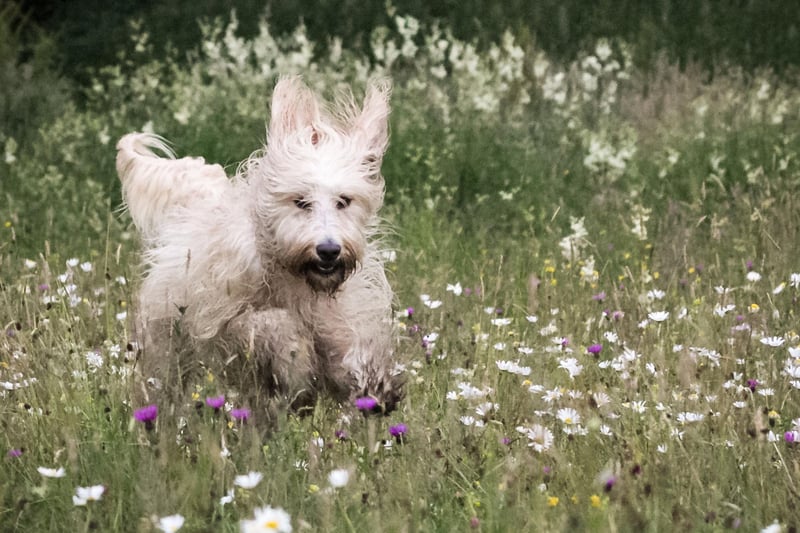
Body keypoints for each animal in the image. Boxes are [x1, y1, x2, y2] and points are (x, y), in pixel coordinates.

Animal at [115, 77, 404, 414]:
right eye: (300, 201)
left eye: (343, 201)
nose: (328, 251)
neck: (292, 273)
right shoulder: (223, 327)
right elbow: (274, 322)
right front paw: (297, 365)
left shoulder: (337, 319)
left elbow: (347, 351)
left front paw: (374, 385)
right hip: (167, 346)